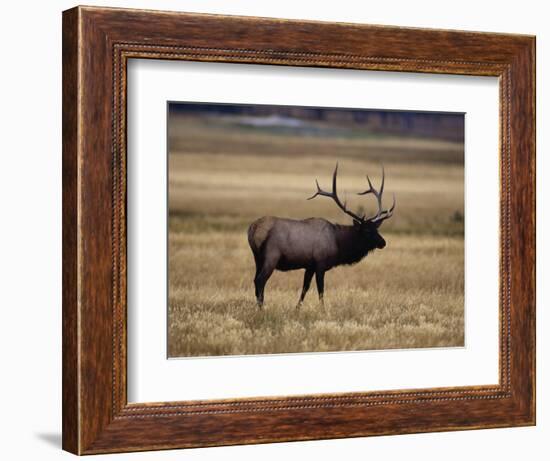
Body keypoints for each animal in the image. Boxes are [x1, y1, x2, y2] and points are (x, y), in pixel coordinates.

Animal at [250, 164, 396, 308]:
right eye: (366, 231)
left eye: (376, 229)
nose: (383, 242)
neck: (339, 244)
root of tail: (253, 229)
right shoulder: (320, 264)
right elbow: (321, 290)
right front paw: (323, 309)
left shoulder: (309, 266)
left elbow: (305, 288)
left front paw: (297, 308)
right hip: (271, 256)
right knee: (260, 280)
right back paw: (261, 308)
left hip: (258, 258)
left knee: (255, 280)